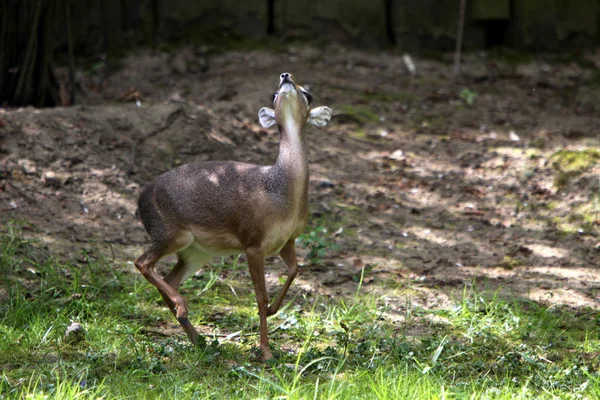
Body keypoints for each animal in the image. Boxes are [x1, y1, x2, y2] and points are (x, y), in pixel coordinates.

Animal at [134, 72, 332, 362]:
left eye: (307, 93)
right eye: (274, 94)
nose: (285, 76)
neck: (281, 195)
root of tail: (139, 204)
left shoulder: (288, 240)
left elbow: (295, 270)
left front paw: (273, 311)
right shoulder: (253, 242)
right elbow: (260, 297)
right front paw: (266, 351)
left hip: (195, 253)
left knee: (169, 279)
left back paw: (199, 339)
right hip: (170, 233)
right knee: (142, 263)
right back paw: (185, 311)